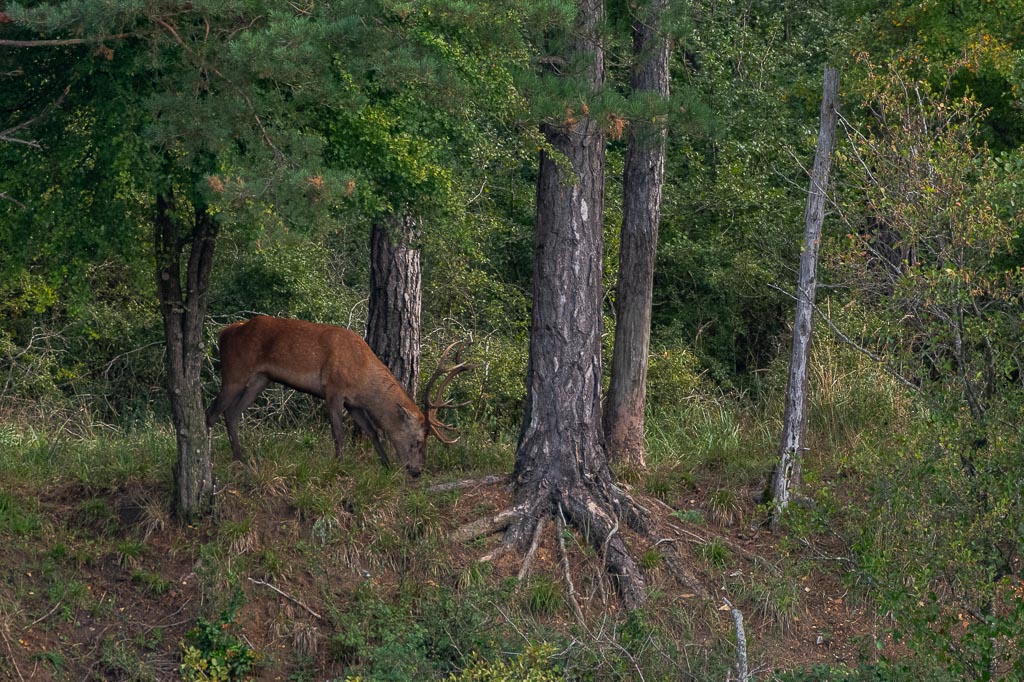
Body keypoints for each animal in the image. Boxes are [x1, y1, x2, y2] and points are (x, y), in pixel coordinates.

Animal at [204, 316, 473, 477]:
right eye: (417, 441)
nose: (417, 471)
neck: (361, 374)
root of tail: (224, 333)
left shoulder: (353, 403)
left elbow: (372, 431)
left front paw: (385, 464)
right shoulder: (333, 389)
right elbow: (338, 432)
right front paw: (340, 465)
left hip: (260, 379)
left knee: (231, 413)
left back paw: (241, 456)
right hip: (235, 371)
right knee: (212, 412)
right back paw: (209, 459)